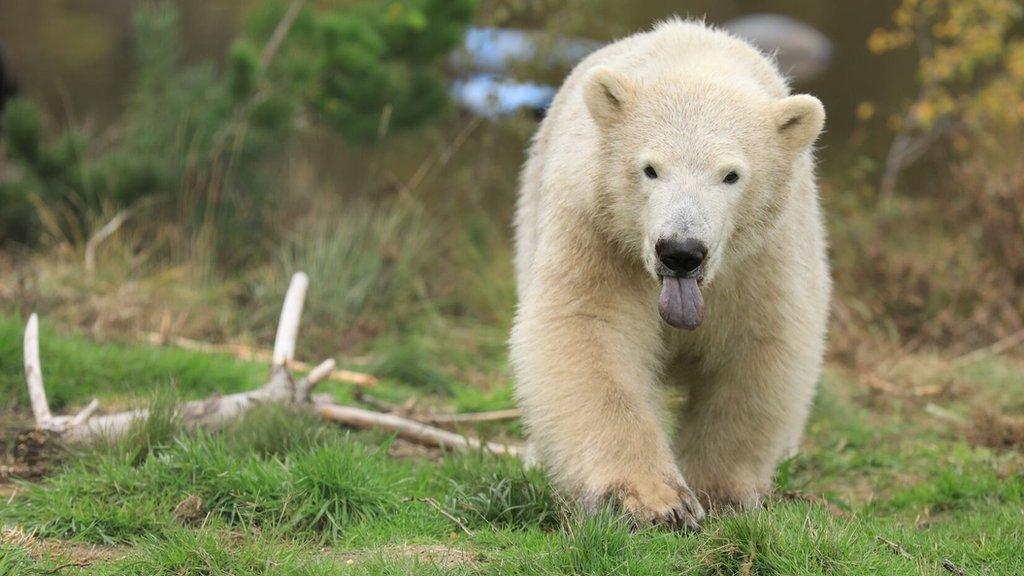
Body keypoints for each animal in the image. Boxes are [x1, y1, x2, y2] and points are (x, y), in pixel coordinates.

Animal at [512, 19, 831, 528]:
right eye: (650, 169)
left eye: (731, 175)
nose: (681, 252)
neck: (693, 62)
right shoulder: (598, 230)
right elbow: (587, 328)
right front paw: (655, 501)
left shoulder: (764, 254)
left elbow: (758, 346)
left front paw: (720, 493)